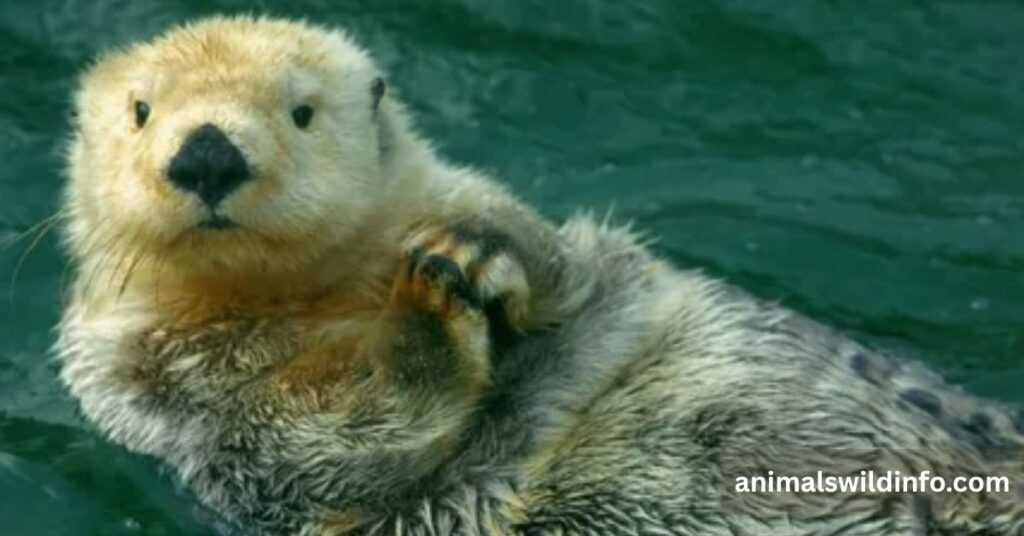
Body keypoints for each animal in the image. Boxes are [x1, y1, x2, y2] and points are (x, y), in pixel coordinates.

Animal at [58, 16, 1023, 536]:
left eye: (301, 112)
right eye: (141, 110)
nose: (207, 153)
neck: (316, 297)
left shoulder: (518, 230)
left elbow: (563, 271)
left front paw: (479, 252)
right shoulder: (156, 387)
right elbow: (330, 441)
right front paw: (427, 307)